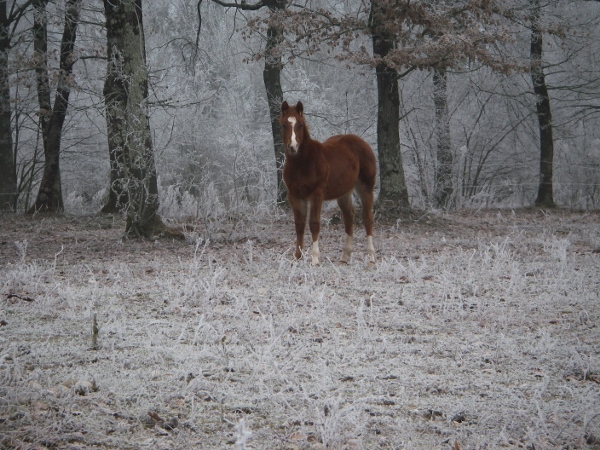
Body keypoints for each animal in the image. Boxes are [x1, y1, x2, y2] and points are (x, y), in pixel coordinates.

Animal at [280, 100, 376, 266]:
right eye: (284, 125)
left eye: (300, 125)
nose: (292, 147)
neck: (303, 163)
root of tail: (362, 143)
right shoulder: (295, 196)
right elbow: (299, 225)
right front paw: (298, 257)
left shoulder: (316, 194)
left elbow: (314, 224)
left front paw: (314, 259)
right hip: (344, 192)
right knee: (349, 217)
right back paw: (345, 256)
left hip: (365, 187)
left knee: (367, 218)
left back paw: (371, 257)